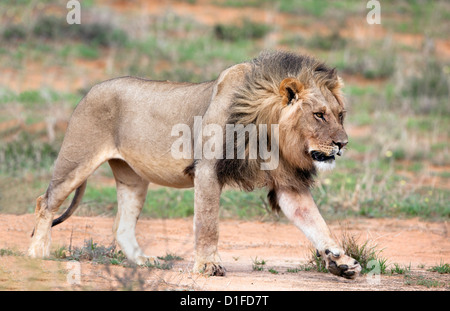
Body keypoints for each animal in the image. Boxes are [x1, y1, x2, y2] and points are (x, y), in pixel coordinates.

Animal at [29, 50, 362, 280]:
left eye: (340, 115)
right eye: (319, 115)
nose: (342, 144)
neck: (271, 135)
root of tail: (90, 90)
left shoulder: (288, 184)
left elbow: (315, 222)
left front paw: (340, 260)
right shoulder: (206, 170)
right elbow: (207, 224)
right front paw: (208, 265)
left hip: (132, 178)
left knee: (121, 226)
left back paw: (143, 262)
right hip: (76, 160)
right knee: (45, 202)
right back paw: (37, 253)